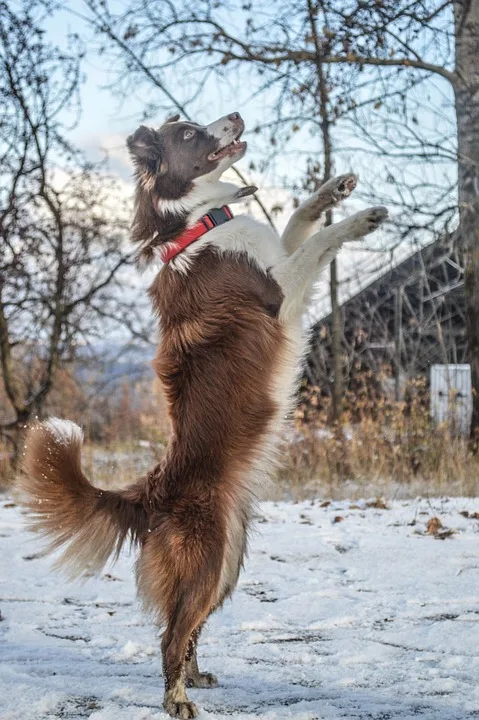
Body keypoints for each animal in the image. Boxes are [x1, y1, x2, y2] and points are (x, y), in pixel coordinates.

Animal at [17, 109, 390, 716]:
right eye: (189, 133)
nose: (234, 116)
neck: (200, 224)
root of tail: (150, 492)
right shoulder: (281, 294)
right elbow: (316, 244)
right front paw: (359, 219)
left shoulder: (278, 260)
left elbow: (298, 221)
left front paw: (333, 190)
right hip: (208, 560)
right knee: (170, 633)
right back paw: (177, 697)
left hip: (226, 567)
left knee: (186, 626)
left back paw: (195, 675)